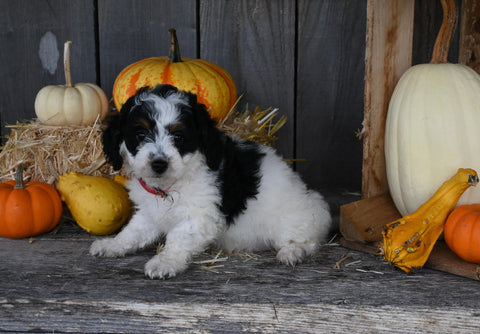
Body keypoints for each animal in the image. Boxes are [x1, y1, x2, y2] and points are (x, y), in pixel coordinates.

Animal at [91, 84, 330, 280]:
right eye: (140, 134)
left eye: (178, 137)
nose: (159, 163)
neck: (170, 186)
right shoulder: (150, 213)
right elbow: (133, 231)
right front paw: (112, 245)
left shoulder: (200, 216)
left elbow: (178, 237)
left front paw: (164, 263)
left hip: (295, 219)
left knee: (307, 240)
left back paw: (292, 252)